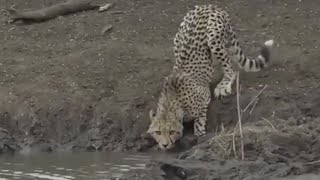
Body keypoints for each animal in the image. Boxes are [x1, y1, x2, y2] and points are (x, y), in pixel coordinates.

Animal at [148, 4, 272, 150]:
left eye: (171, 131)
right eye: (157, 132)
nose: (165, 145)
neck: (170, 103)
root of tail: (209, 6)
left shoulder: (204, 96)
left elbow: (200, 119)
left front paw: (199, 132)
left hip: (213, 38)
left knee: (231, 69)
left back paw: (224, 85)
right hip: (178, 38)